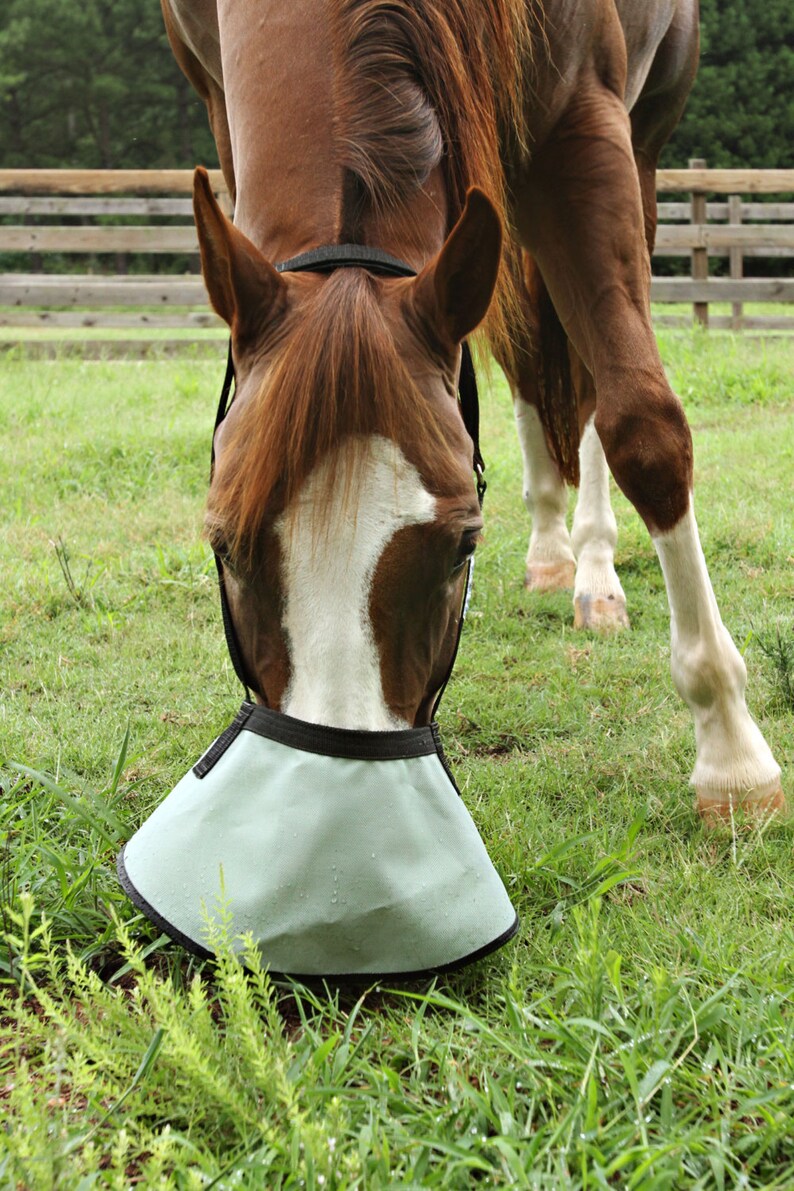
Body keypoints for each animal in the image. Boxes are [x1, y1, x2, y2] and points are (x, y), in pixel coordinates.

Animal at [160, 0, 784, 824]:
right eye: (222, 543)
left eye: (463, 545)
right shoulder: (217, 105)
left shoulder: (583, 122)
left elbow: (644, 425)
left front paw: (733, 754)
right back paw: (552, 553)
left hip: (633, 149)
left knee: (591, 384)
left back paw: (594, 572)